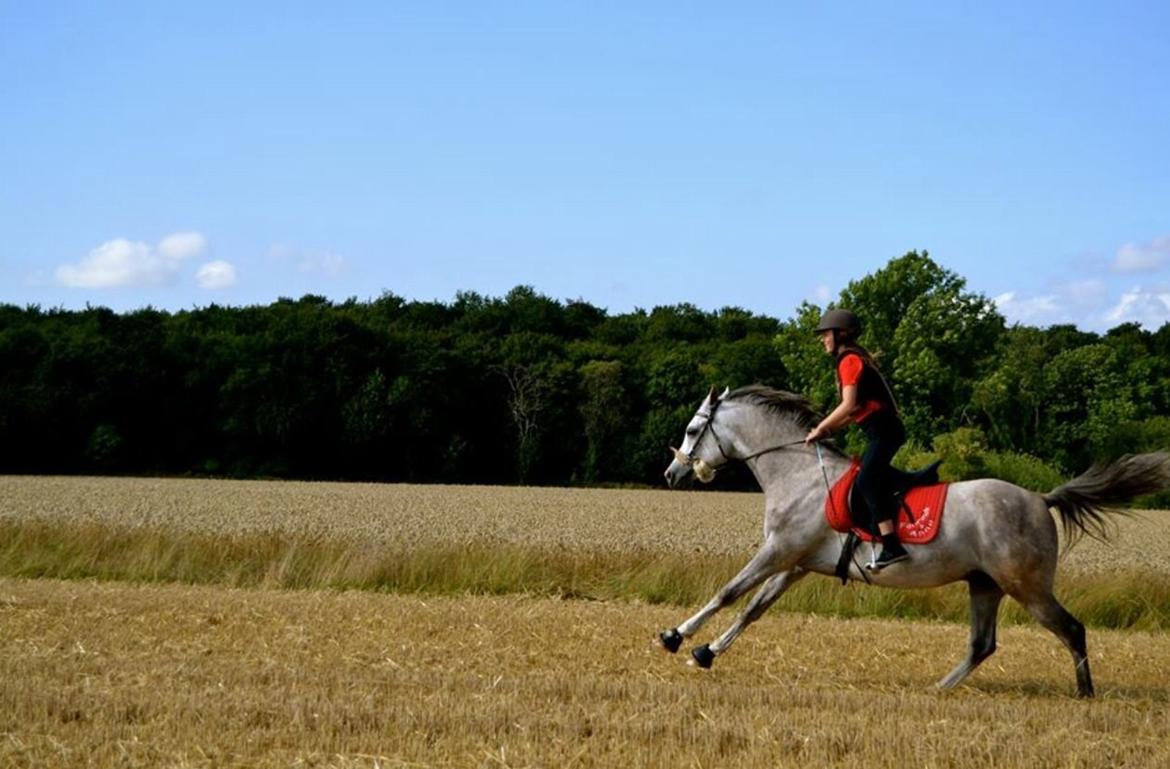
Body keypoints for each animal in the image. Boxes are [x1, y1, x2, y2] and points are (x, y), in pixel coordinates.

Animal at [659, 383, 1170, 697]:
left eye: (691, 429)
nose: (671, 474)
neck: (797, 473)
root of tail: (1041, 499)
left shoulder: (779, 550)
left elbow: (729, 592)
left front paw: (675, 636)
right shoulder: (797, 562)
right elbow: (753, 608)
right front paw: (705, 653)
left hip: (1027, 587)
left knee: (1071, 629)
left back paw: (1085, 694)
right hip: (984, 584)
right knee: (982, 644)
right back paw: (939, 689)